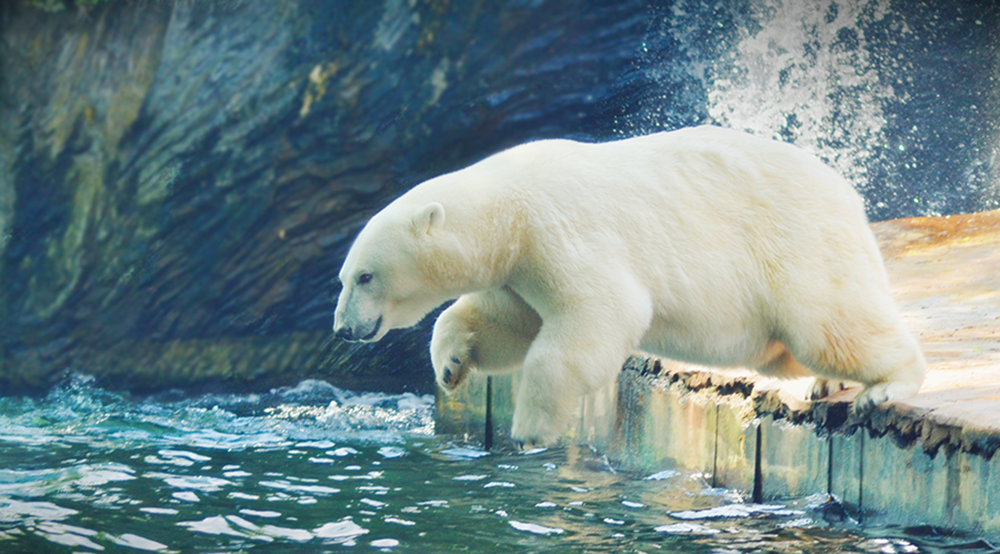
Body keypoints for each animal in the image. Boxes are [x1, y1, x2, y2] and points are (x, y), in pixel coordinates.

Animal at [333, 125, 926, 447]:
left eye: (365, 275)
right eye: (345, 276)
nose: (342, 329)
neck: (507, 209)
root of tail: (847, 194)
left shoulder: (561, 230)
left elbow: (598, 316)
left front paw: (529, 430)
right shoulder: (522, 264)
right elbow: (507, 321)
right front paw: (451, 365)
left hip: (795, 246)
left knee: (829, 323)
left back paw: (885, 385)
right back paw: (825, 384)